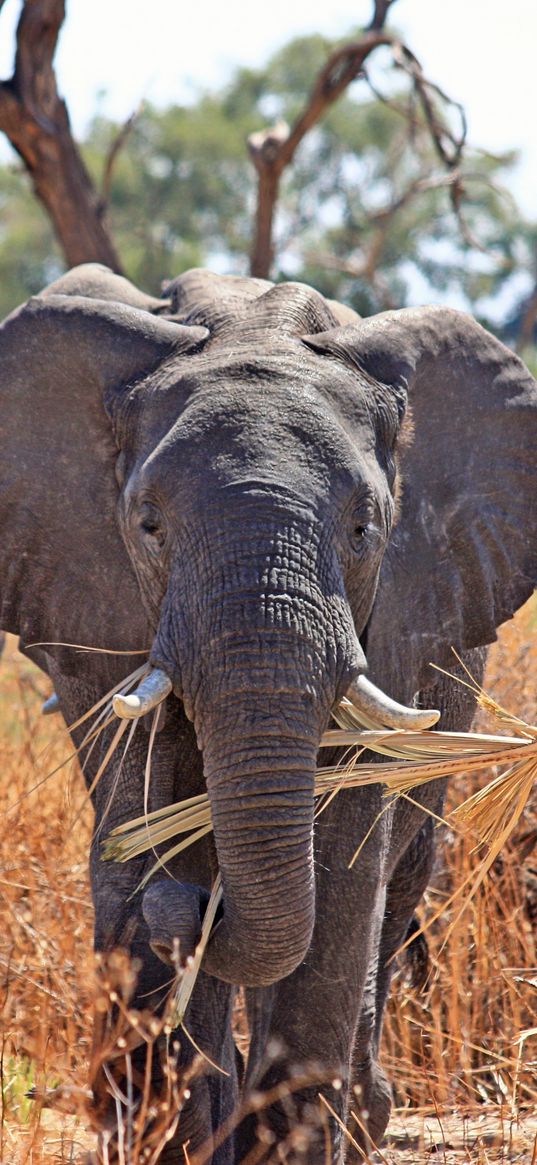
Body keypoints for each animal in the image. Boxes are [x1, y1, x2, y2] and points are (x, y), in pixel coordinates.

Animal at [1, 264, 535, 1165]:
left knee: (398, 879)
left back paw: (359, 1120)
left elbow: (342, 857)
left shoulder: (397, 608)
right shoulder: (96, 601)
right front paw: (174, 1133)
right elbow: (136, 815)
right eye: (147, 525)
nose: (194, 909)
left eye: (362, 528)